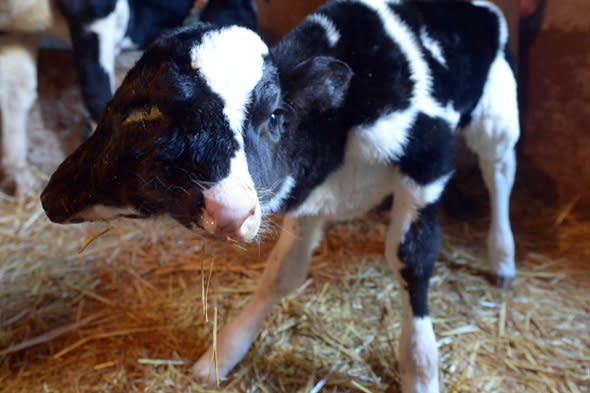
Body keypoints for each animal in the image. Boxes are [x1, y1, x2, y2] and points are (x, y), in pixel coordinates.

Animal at [41, 1, 520, 390]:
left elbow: (412, 260)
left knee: (499, 174)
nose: (230, 209)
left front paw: (420, 373)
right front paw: (223, 353)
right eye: (141, 113)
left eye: (274, 116)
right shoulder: (309, 199)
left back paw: (502, 258)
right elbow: (281, 274)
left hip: (498, 117)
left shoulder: (427, 166)